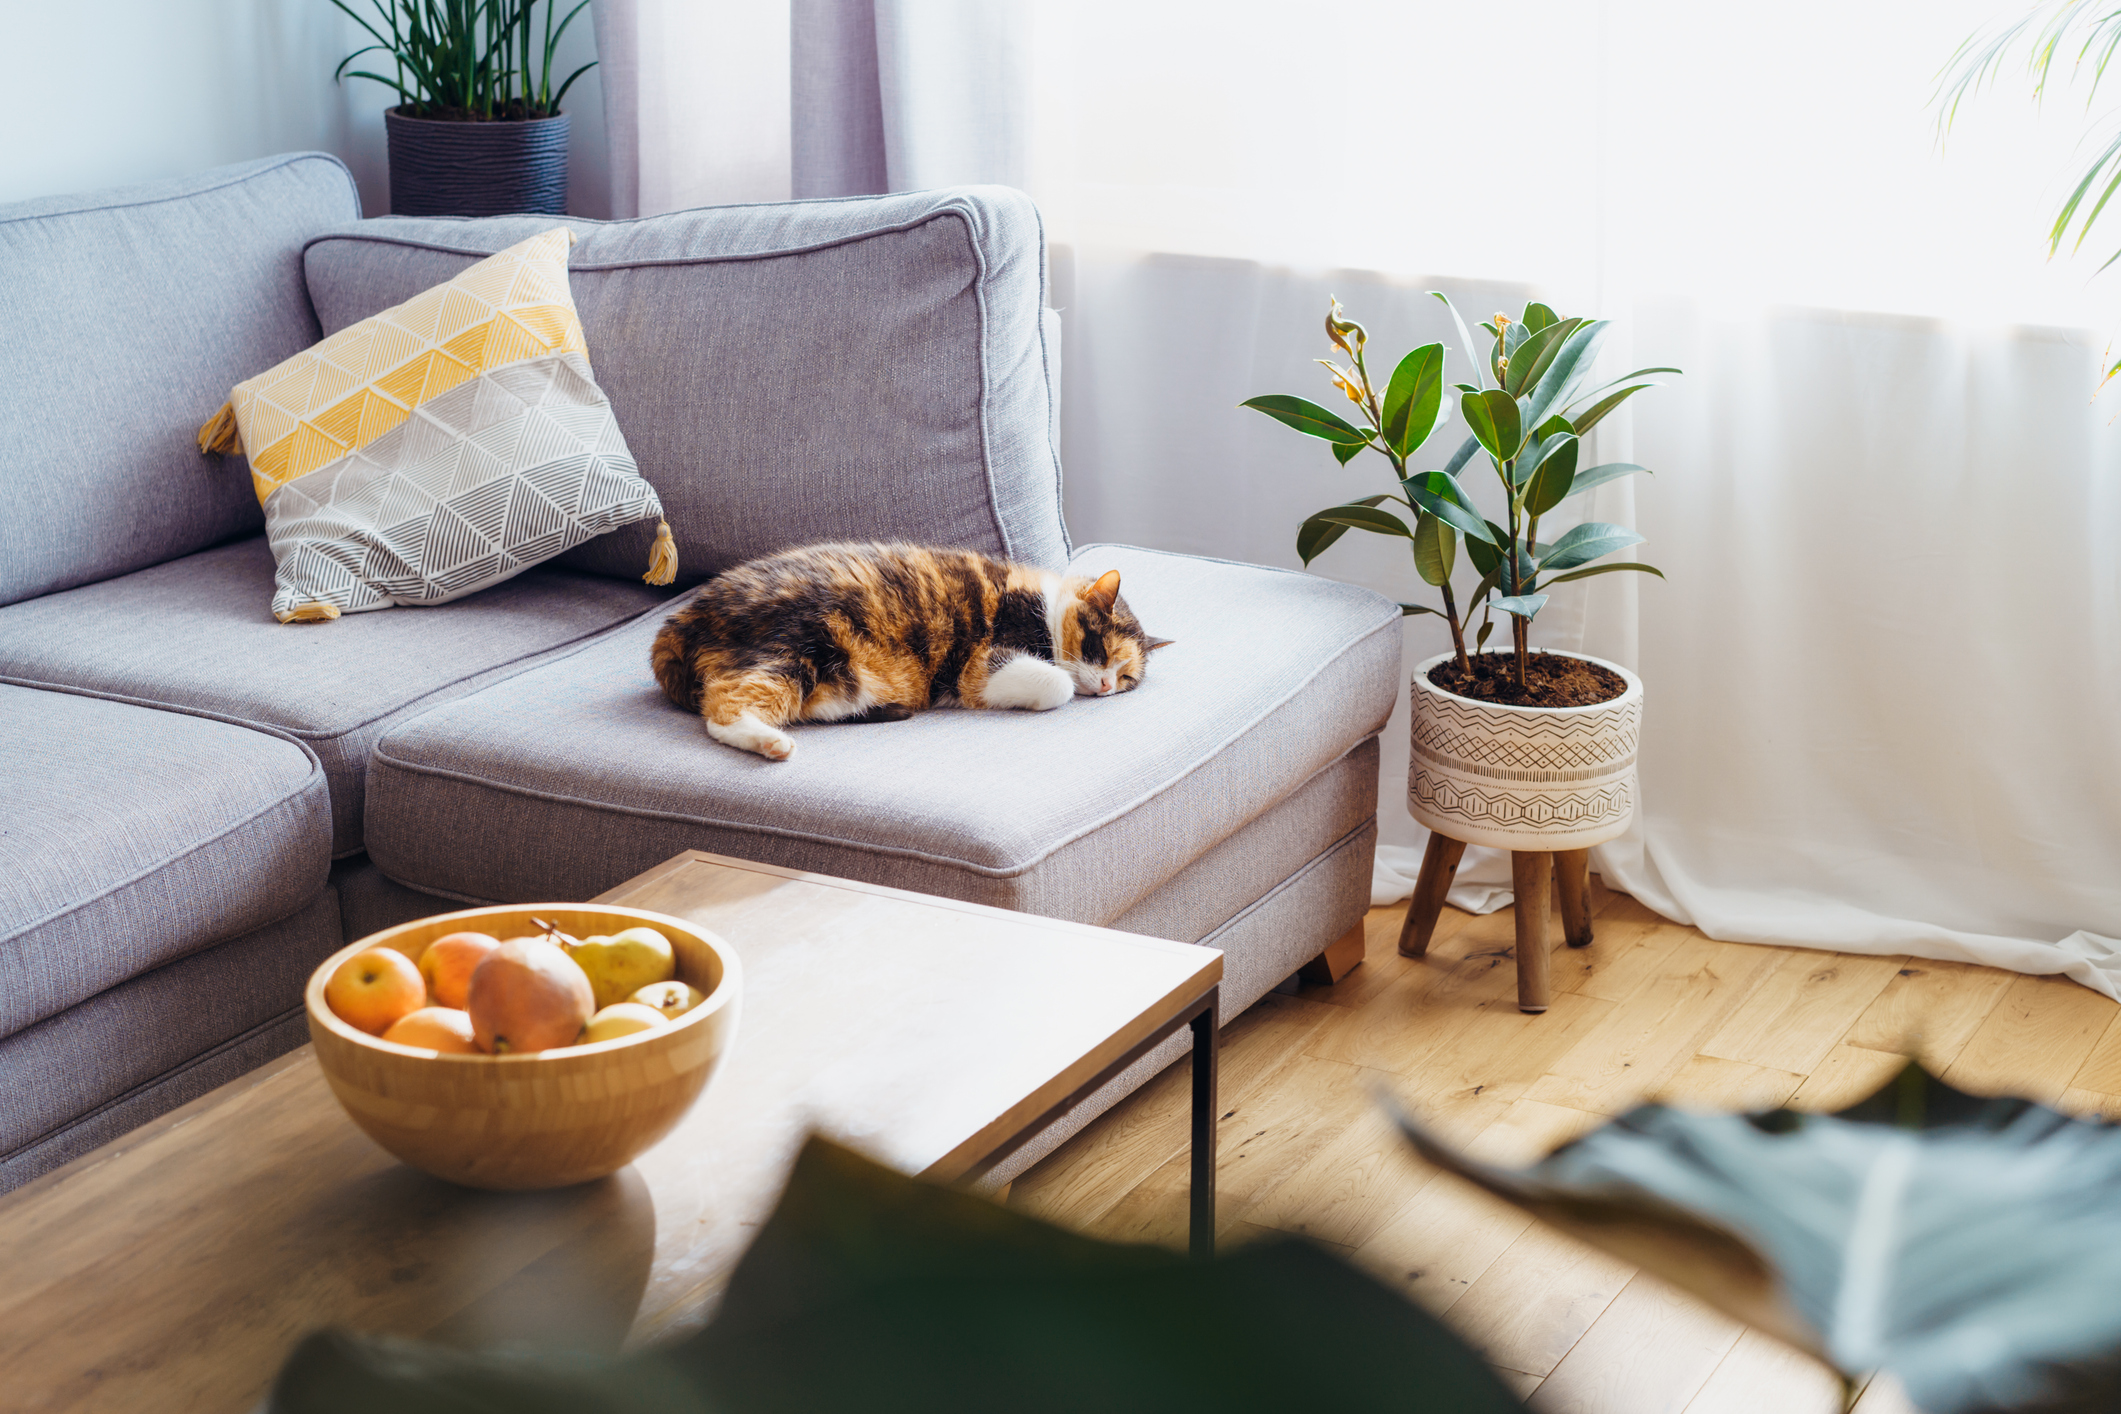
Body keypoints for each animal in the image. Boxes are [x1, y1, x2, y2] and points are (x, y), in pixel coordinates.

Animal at [649, 542, 1179, 763]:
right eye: (1098, 647)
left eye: (1127, 678)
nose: (1107, 685)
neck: (1045, 605)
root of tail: (681, 620)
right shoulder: (981, 660)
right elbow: (1058, 683)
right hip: (795, 649)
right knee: (722, 708)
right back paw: (771, 744)